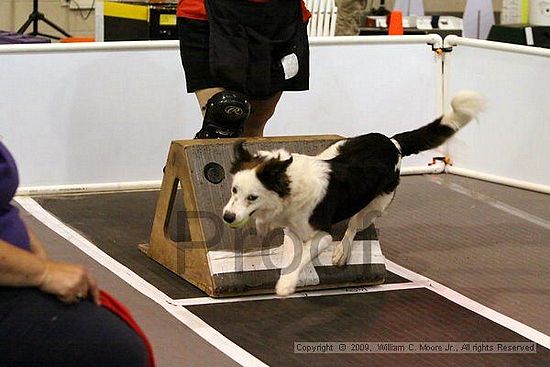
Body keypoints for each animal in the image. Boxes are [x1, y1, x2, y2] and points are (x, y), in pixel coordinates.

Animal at [222, 90, 486, 298]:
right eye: (234, 190)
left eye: (252, 197)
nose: (227, 217)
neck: (287, 185)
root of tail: (393, 143)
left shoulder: (321, 235)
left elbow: (304, 255)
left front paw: (286, 284)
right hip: (335, 148)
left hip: (375, 207)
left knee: (353, 226)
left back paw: (342, 252)